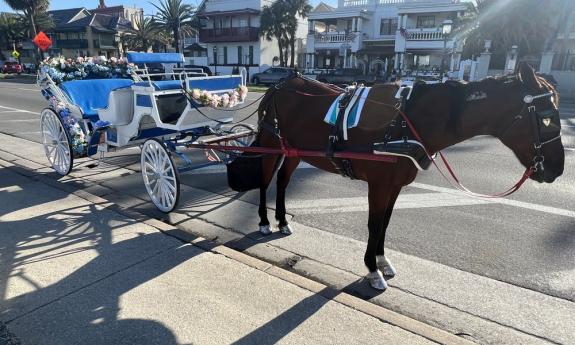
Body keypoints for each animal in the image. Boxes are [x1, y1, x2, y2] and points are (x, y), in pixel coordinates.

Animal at [252, 63, 564, 288]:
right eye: (547, 117)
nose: (557, 169)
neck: (408, 122)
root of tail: (279, 85)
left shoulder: (395, 185)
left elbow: (385, 223)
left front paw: (382, 260)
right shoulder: (378, 184)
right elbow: (374, 224)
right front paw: (372, 269)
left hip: (294, 152)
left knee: (282, 182)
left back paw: (282, 220)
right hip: (269, 144)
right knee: (265, 180)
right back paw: (265, 222)